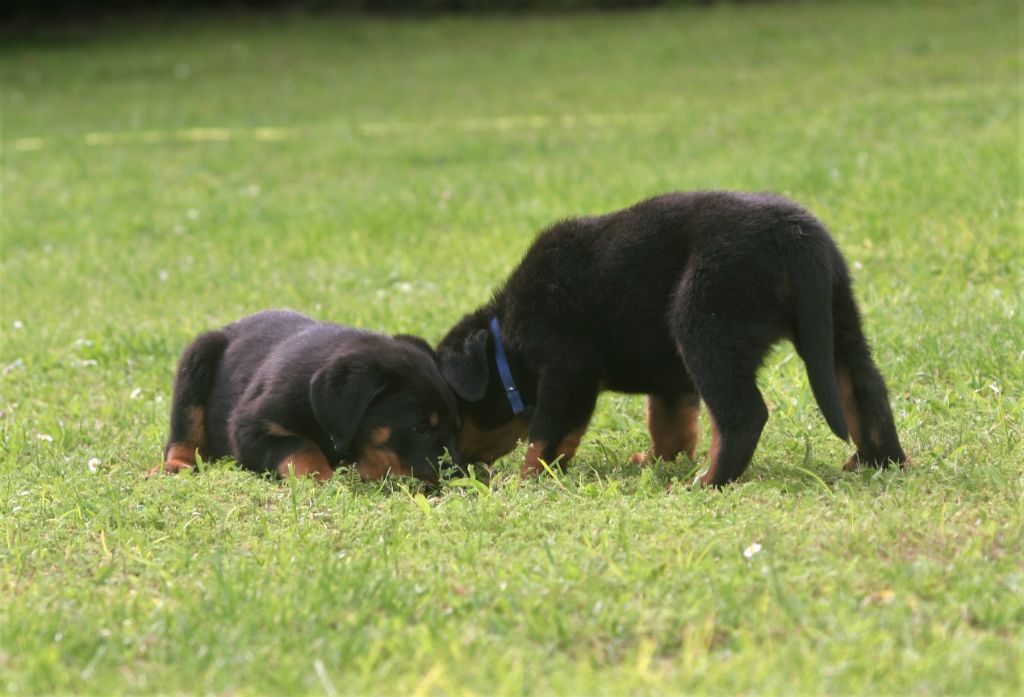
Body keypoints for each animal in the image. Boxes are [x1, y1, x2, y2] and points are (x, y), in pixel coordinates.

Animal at [149, 311, 460, 483]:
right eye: (420, 428)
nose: (460, 475)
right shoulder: (249, 429)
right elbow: (301, 445)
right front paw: (322, 478)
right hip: (196, 359)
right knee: (183, 438)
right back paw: (174, 466)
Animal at [436, 190, 909, 483]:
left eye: (455, 413)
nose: (451, 467)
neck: (506, 340)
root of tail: (795, 232)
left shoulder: (567, 371)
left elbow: (545, 435)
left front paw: (524, 481)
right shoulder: (670, 381)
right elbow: (670, 425)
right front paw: (659, 460)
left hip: (703, 320)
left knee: (743, 415)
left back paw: (708, 481)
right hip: (838, 319)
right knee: (863, 387)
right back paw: (878, 462)